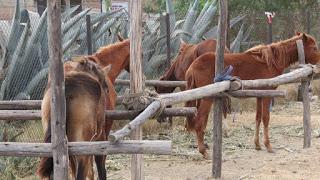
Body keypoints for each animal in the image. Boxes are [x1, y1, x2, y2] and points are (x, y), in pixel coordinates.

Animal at [185, 33, 320, 158]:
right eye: (314, 48)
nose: (318, 65)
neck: (271, 61)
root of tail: (192, 66)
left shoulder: (259, 95)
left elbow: (258, 118)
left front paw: (257, 145)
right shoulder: (266, 95)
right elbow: (266, 118)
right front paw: (268, 145)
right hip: (207, 99)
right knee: (199, 122)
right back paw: (204, 152)